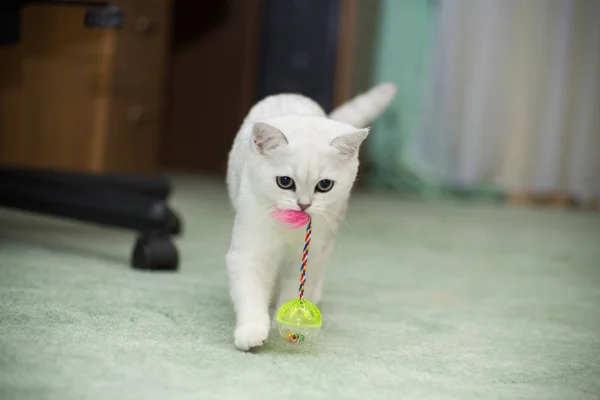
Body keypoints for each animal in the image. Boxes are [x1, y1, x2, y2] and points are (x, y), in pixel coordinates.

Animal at [223, 82, 396, 350]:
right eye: (285, 182)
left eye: (324, 185)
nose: (304, 205)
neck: (289, 232)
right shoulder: (250, 249)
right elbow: (250, 291)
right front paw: (251, 331)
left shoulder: (309, 254)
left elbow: (296, 289)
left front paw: (291, 320)